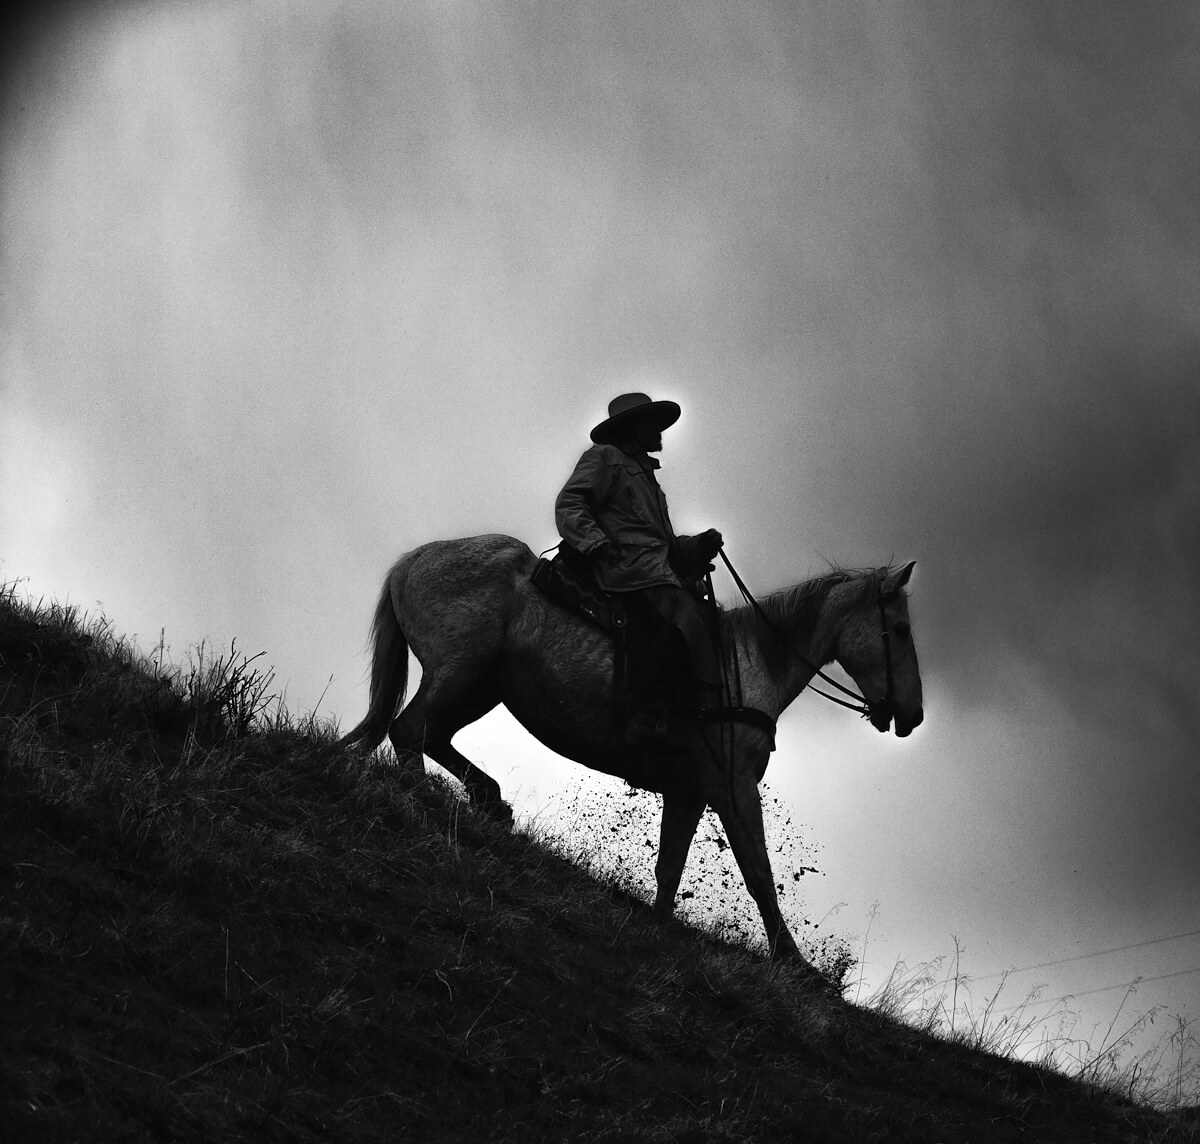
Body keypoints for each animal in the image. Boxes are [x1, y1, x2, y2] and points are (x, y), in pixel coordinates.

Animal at [343, 532, 921, 965]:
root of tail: (410, 562)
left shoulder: (689, 793)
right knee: (410, 732)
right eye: (897, 628)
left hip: (482, 686)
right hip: (461, 672)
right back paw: (427, 800)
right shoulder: (732, 787)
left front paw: (658, 929)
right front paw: (795, 965)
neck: (747, 666)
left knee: (428, 735)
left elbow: (671, 867)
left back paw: (487, 799)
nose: (912, 715)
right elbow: (759, 873)